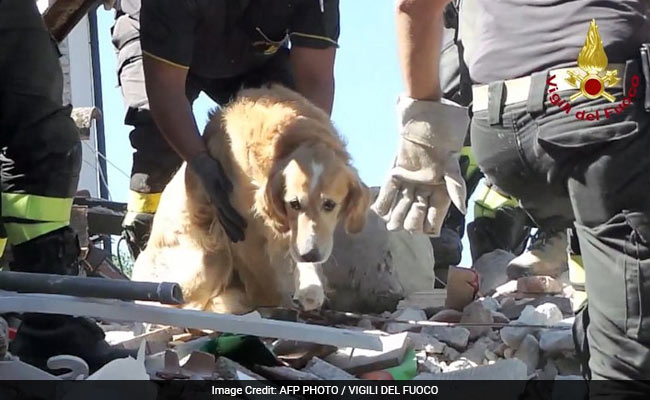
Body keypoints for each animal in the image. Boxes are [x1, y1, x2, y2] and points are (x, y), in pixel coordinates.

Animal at [130, 85, 370, 316]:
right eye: (294, 204)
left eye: (329, 205)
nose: (309, 254)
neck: (289, 141)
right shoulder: (243, 232)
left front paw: (310, 291)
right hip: (212, 256)